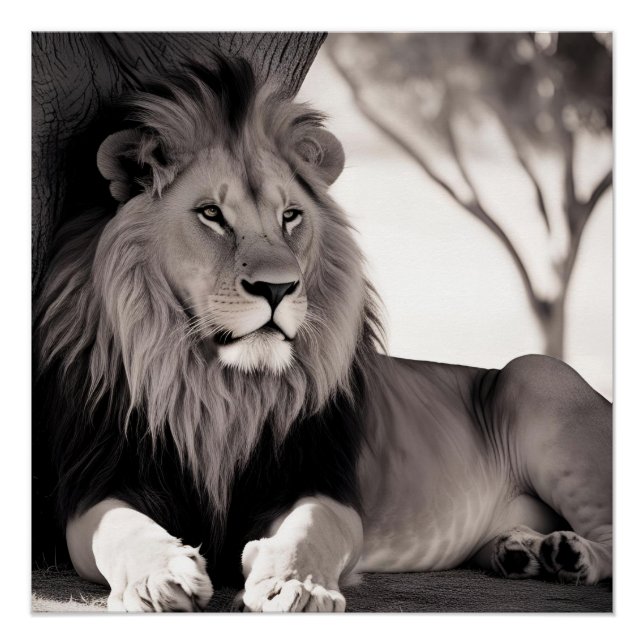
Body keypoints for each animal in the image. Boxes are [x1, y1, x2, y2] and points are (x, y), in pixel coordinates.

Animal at [35, 55, 612, 612]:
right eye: (211, 214)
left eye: (291, 216)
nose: (277, 287)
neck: (222, 389)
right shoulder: (95, 486)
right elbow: (121, 530)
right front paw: (160, 577)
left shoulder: (320, 478)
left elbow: (312, 529)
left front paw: (296, 586)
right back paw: (521, 550)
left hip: (534, 373)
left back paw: (569, 554)